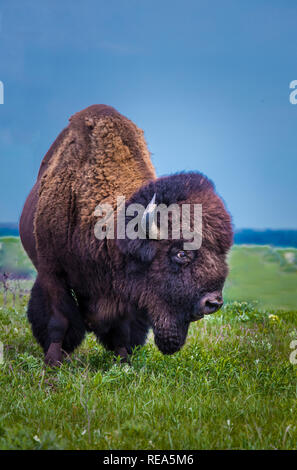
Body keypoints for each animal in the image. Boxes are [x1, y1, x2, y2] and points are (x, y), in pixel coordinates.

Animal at [19, 104, 232, 366]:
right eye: (181, 253)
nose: (213, 302)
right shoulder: (52, 272)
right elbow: (59, 320)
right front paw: (53, 362)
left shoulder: (126, 293)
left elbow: (122, 330)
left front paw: (123, 363)